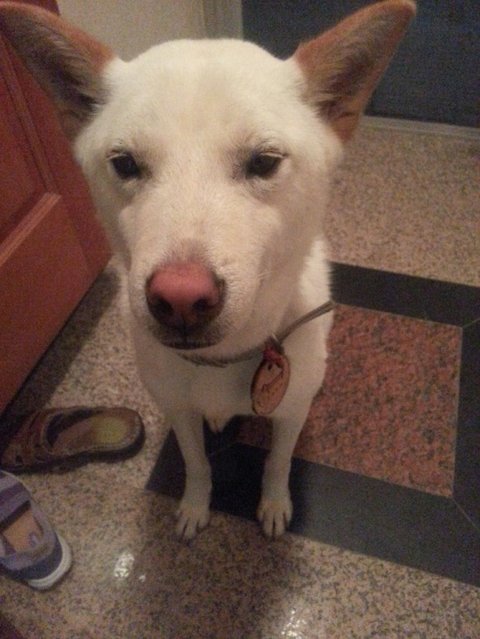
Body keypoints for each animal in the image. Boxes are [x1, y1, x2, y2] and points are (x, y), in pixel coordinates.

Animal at [0, 1, 415, 539]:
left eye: (264, 161)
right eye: (125, 163)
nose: (180, 299)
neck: (222, 361)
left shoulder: (288, 418)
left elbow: (278, 462)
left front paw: (274, 503)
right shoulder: (178, 411)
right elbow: (197, 464)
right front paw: (196, 506)